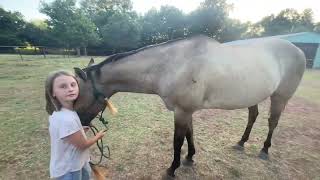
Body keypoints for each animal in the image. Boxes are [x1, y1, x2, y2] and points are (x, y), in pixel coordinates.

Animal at [72, 34, 304, 178]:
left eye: (76, 93)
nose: (80, 123)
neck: (171, 65)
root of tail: (298, 51)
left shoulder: (182, 111)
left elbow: (177, 141)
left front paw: (172, 169)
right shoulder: (186, 111)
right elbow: (190, 135)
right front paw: (190, 157)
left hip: (280, 97)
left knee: (272, 122)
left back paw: (264, 149)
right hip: (253, 96)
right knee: (253, 116)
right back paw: (241, 142)